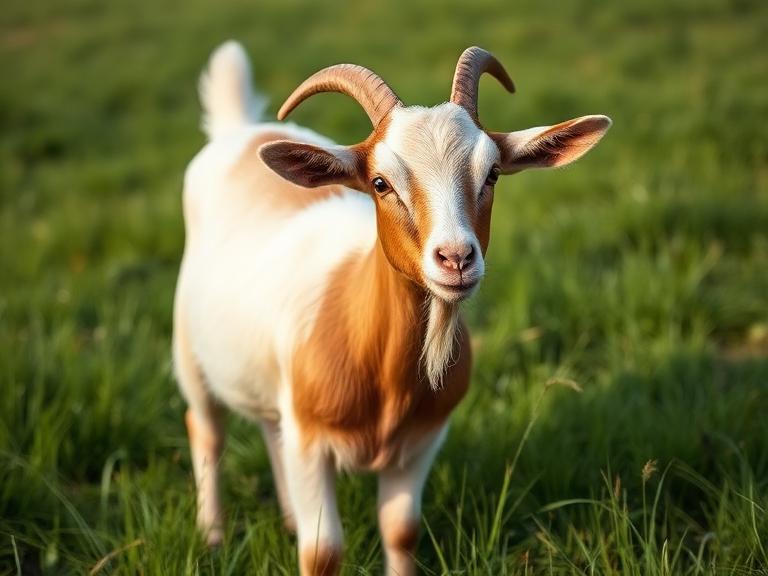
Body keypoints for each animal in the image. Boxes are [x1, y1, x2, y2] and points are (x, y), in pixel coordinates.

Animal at [173, 40, 611, 575]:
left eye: (492, 174)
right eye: (380, 183)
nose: (456, 258)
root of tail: (240, 130)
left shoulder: (421, 442)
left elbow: (401, 532)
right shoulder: (310, 443)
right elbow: (322, 552)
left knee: (268, 428)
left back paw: (287, 519)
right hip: (189, 350)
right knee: (206, 429)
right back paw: (212, 535)